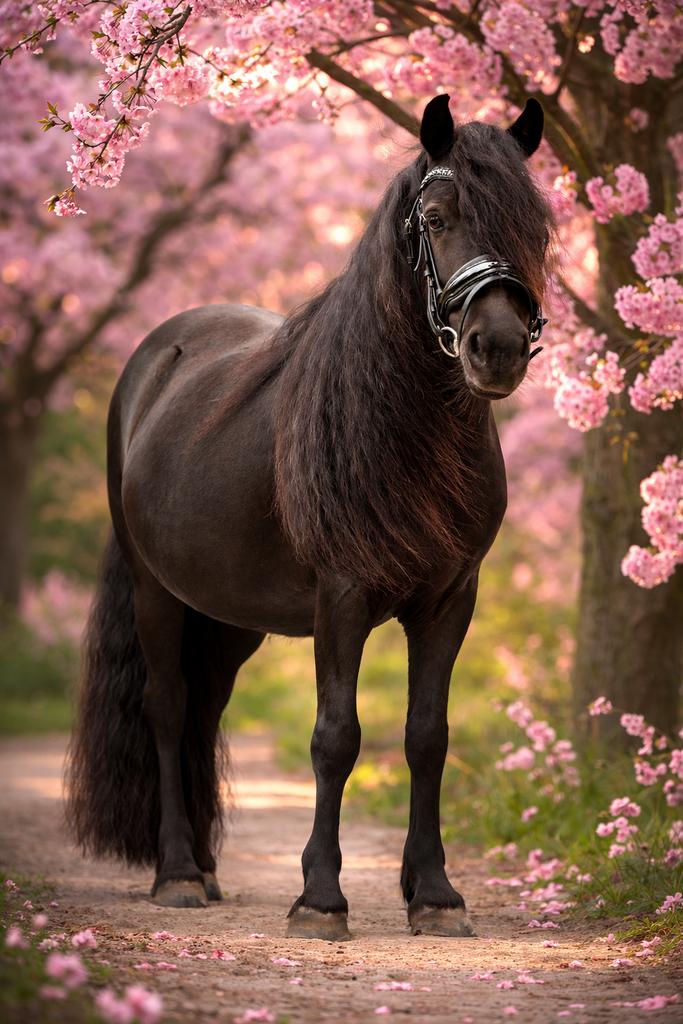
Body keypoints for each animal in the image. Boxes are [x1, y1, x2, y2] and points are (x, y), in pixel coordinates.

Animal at [66, 94, 553, 941]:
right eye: (435, 217)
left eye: (538, 229)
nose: (495, 349)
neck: (402, 430)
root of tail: (153, 362)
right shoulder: (343, 597)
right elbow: (336, 737)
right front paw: (320, 898)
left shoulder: (449, 600)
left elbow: (426, 737)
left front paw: (433, 892)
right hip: (159, 594)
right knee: (167, 708)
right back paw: (177, 872)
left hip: (227, 616)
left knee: (204, 708)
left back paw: (207, 866)